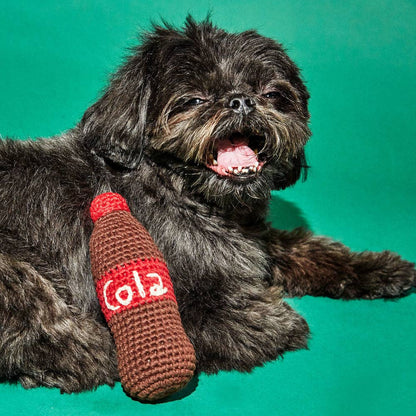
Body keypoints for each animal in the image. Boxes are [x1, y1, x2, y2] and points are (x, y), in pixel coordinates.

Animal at [0, 17, 416, 394]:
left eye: (271, 93)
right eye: (195, 99)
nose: (241, 100)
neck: (181, 191)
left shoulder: (254, 241)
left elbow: (308, 248)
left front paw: (379, 268)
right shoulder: (193, 302)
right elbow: (255, 320)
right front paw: (281, 316)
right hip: (17, 274)